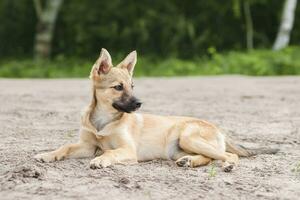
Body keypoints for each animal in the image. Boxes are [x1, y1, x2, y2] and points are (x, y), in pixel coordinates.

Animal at [34, 48, 278, 172]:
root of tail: (219, 130)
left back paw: (227, 164)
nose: (139, 103)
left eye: (132, 86)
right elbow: (65, 147)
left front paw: (101, 160)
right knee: (208, 158)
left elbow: (110, 152)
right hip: (179, 148)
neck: (104, 120)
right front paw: (47, 154)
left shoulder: (127, 150)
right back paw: (189, 162)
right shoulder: (86, 145)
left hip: (188, 137)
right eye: (118, 87)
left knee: (227, 155)